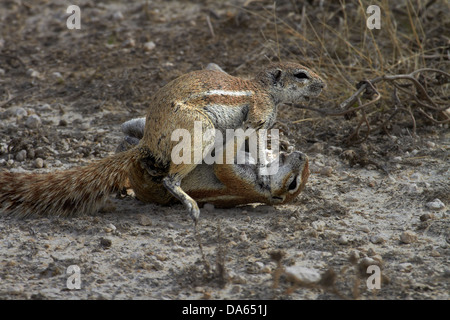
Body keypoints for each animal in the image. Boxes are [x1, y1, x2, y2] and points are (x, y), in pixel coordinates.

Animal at [0, 62, 324, 222]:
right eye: (301, 74)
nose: (324, 84)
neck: (265, 89)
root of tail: (147, 145)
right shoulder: (257, 116)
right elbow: (251, 143)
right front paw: (261, 173)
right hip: (200, 131)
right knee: (170, 178)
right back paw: (190, 205)